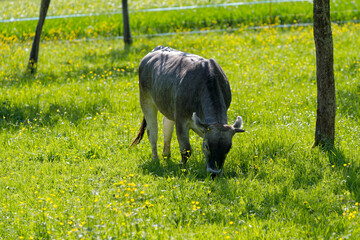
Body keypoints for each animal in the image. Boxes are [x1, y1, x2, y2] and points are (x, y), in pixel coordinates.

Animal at [129, 46, 245, 175]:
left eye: (228, 148)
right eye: (206, 146)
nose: (214, 172)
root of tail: (156, 49)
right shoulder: (181, 119)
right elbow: (186, 149)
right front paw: (181, 166)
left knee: (167, 126)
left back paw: (166, 155)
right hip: (146, 99)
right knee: (152, 131)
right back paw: (156, 159)